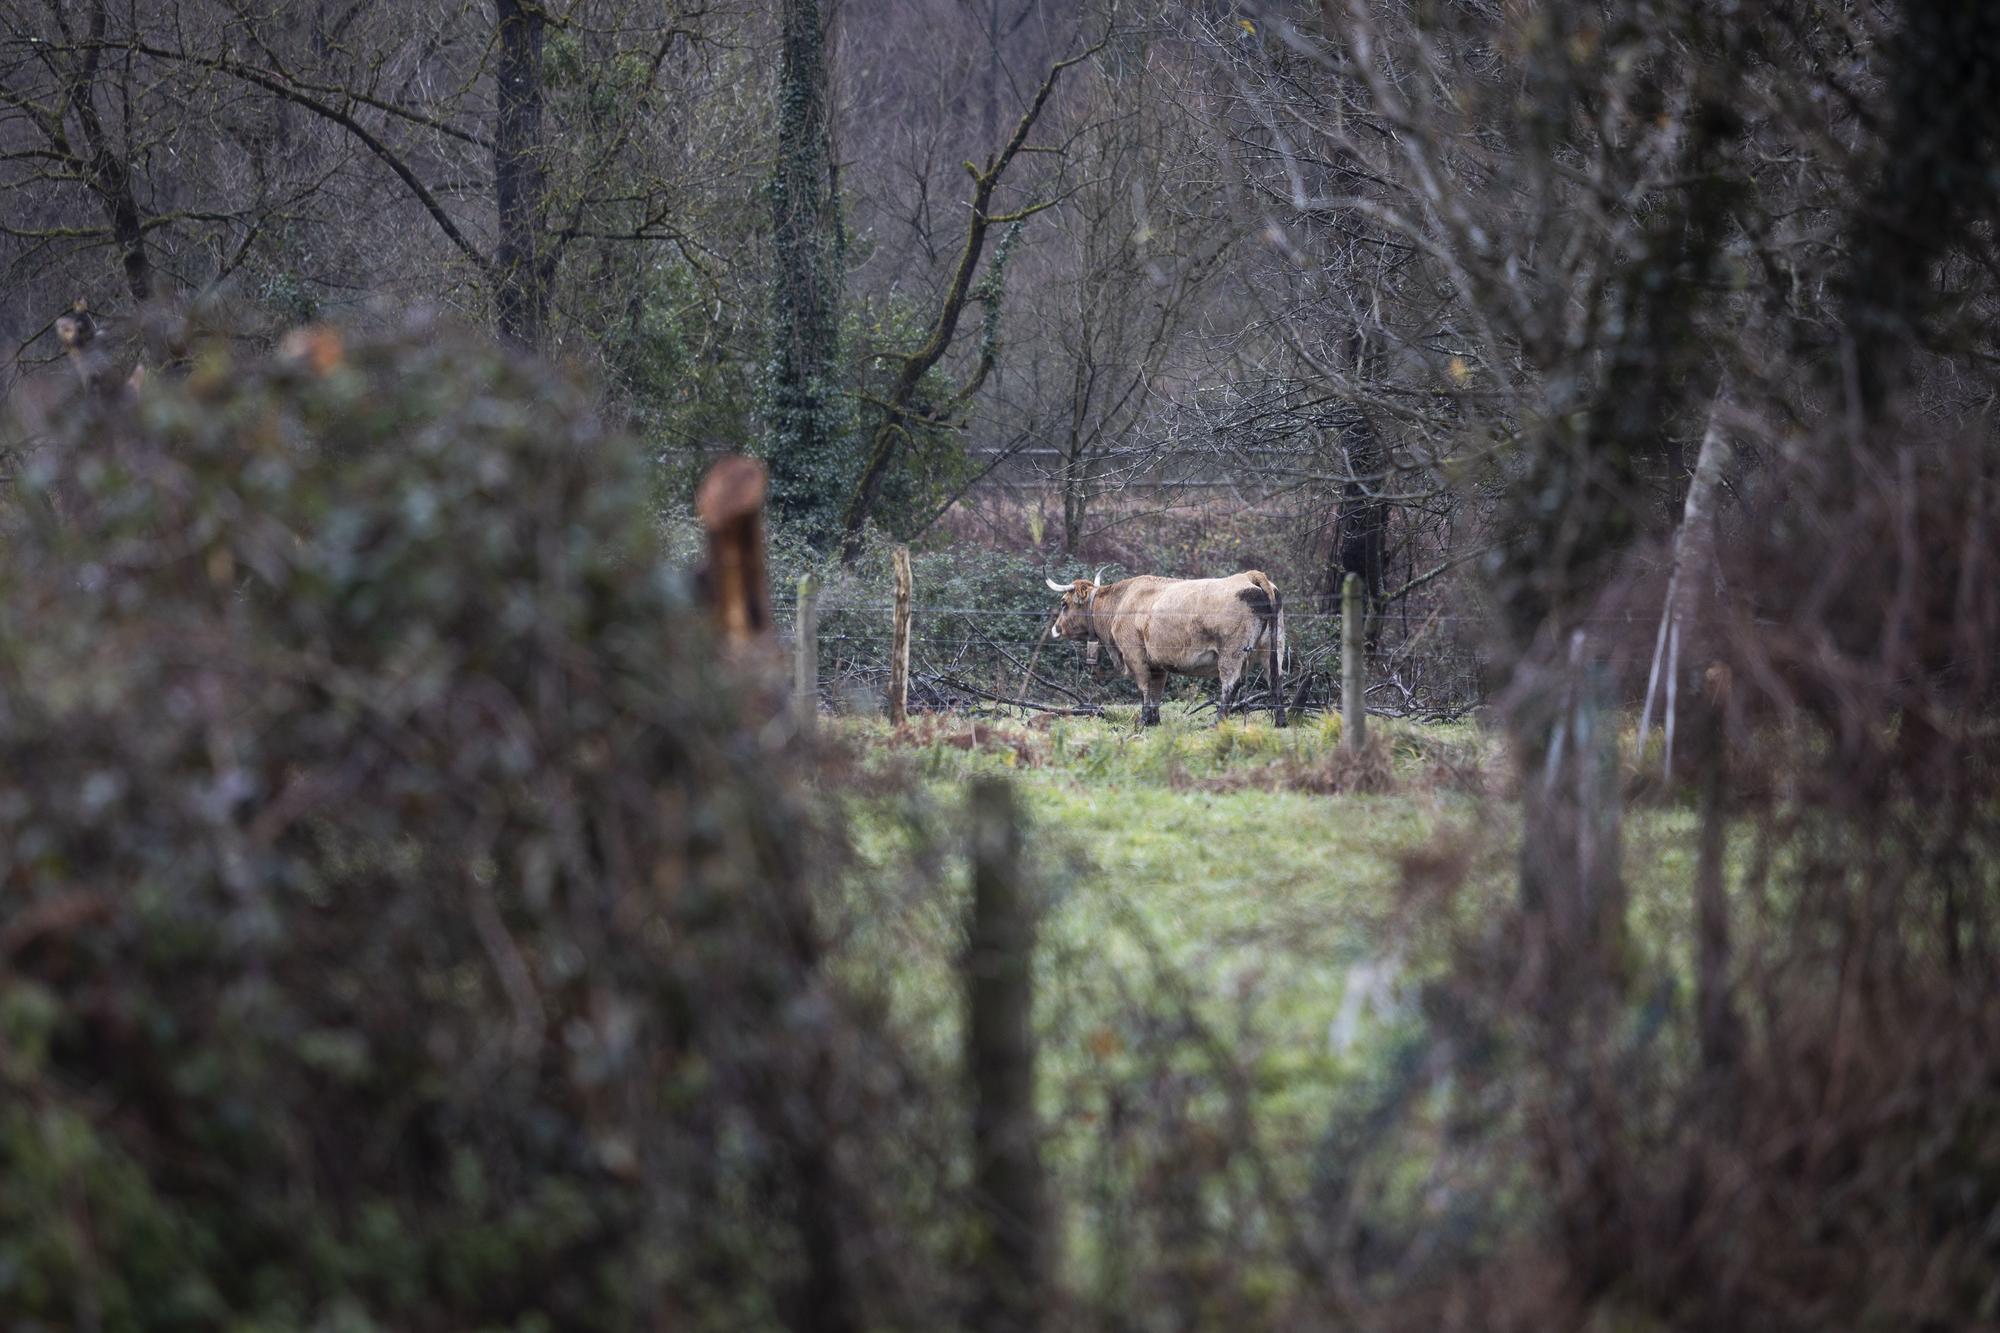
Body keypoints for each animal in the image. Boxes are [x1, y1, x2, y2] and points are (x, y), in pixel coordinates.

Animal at [1040, 564, 1288, 720]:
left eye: (1063, 603)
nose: (1055, 629)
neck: (1121, 601)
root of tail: (1248, 576)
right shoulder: (1158, 664)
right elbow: (1156, 693)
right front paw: (1154, 721)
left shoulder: (1135, 655)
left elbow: (1145, 688)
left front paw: (1143, 721)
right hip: (1273, 650)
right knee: (1276, 681)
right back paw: (1280, 722)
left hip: (1231, 654)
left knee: (1230, 685)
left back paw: (1217, 722)